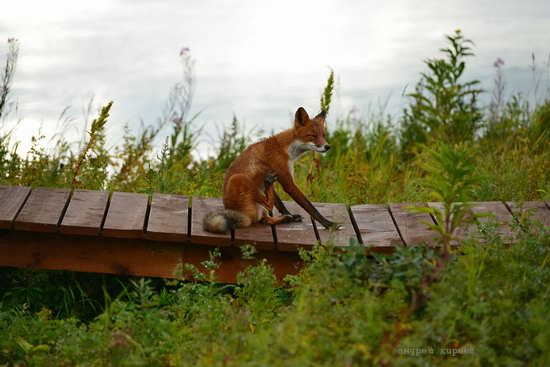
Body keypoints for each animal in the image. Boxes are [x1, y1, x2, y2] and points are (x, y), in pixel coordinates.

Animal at [203, 106, 340, 234]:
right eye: (312, 135)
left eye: (324, 135)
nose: (327, 147)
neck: (285, 149)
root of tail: (240, 215)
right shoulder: (287, 181)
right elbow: (310, 207)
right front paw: (328, 224)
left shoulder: (279, 176)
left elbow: (280, 204)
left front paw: (290, 215)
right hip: (238, 178)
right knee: (267, 205)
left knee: (267, 217)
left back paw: (285, 216)